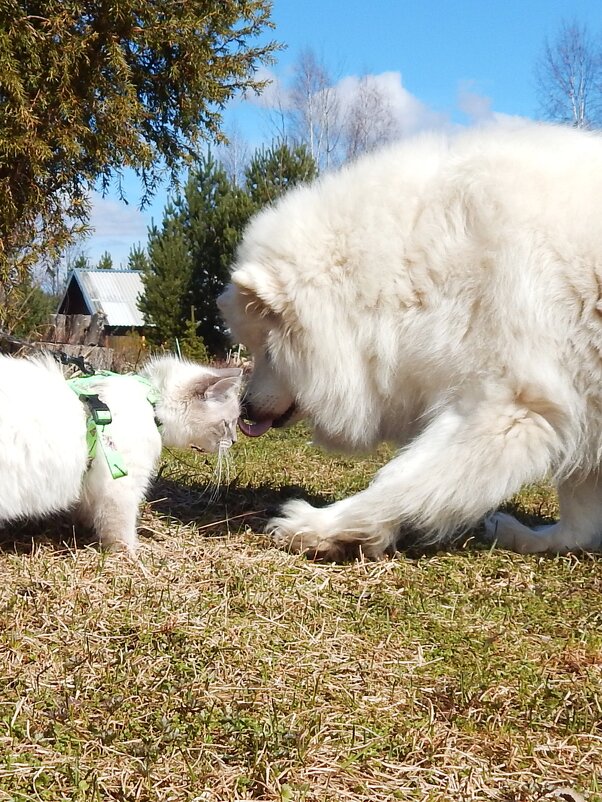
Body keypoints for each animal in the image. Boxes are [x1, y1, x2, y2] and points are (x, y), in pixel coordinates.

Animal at [0, 354, 241, 552]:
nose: (234, 441)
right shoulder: (121, 486)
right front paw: (130, 555)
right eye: (228, 424)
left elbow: (90, 513)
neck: (151, 401)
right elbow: (120, 529)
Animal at [217, 122, 602, 560]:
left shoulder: (506, 409)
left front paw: (321, 527)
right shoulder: (572, 407)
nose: (244, 408)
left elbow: (400, 479)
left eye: (267, 350)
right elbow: (580, 520)